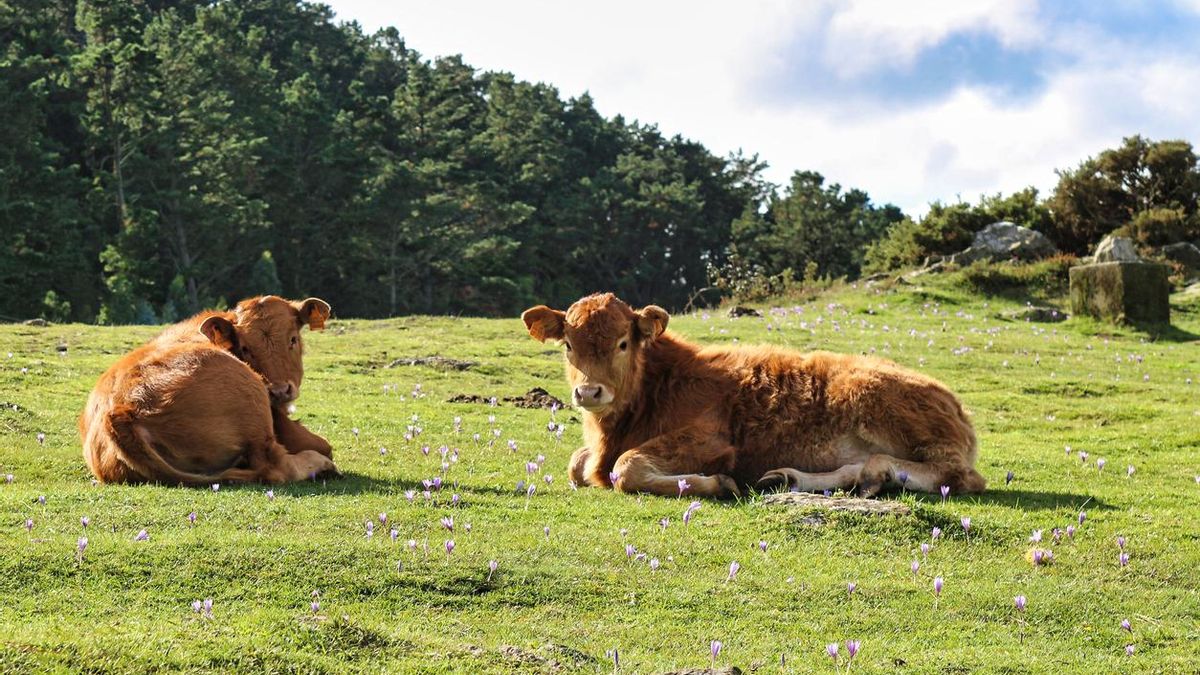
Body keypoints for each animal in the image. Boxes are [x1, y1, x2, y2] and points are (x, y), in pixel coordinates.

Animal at [79, 296, 338, 485]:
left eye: (293, 339)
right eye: (246, 347)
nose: (280, 391)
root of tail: (121, 411)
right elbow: (324, 445)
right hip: (253, 402)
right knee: (276, 467)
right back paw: (321, 466)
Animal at [521, 293, 986, 499]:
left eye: (622, 343)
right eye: (568, 345)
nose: (588, 390)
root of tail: (957, 407)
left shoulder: (711, 439)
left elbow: (626, 467)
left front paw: (719, 483)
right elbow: (576, 464)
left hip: (876, 398)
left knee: (958, 475)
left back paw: (876, 472)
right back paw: (794, 478)